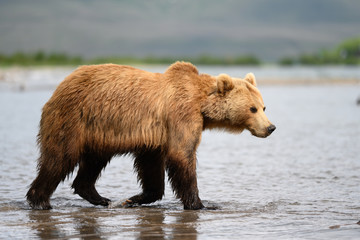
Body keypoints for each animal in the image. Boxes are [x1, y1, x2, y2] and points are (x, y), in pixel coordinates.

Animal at [26, 62, 276, 210]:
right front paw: (200, 203)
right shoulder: (180, 115)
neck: (202, 105)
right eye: (252, 108)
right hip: (73, 118)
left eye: (264, 107)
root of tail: (59, 87)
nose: (270, 127)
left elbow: (152, 166)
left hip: (97, 133)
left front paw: (133, 199)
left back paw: (99, 197)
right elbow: (181, 155)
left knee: (93, 161)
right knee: (60, 158)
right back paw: (40, 201)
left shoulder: (155, 138)